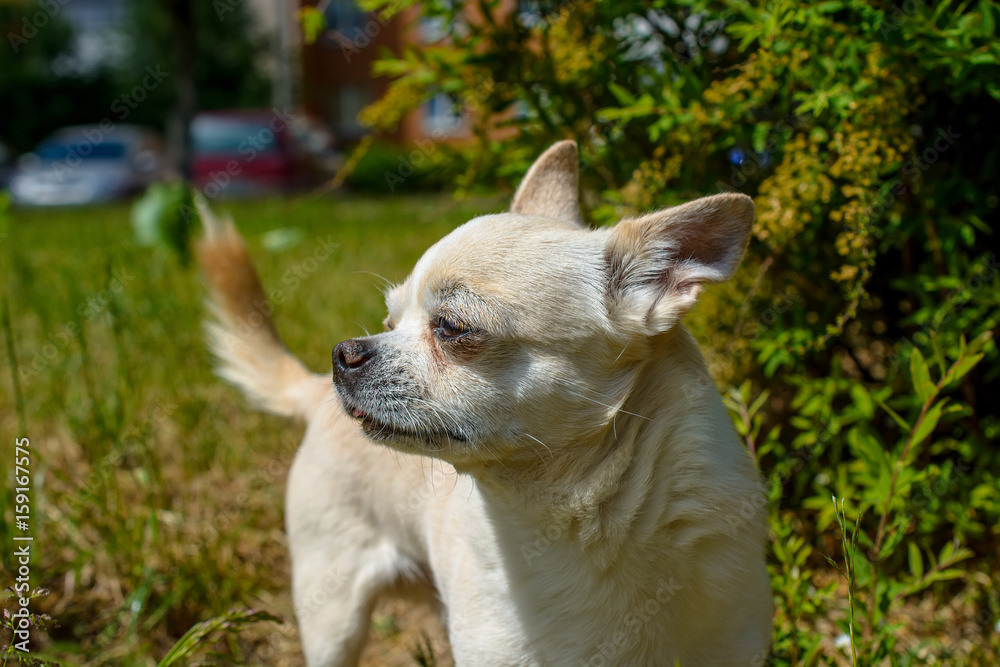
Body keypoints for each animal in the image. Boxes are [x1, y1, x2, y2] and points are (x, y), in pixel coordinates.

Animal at [195, 142, 772, 667]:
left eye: (452, 328)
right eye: (388, 322)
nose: (345, 352)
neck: (583, 524)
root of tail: (317, 393)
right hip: (332, 612)